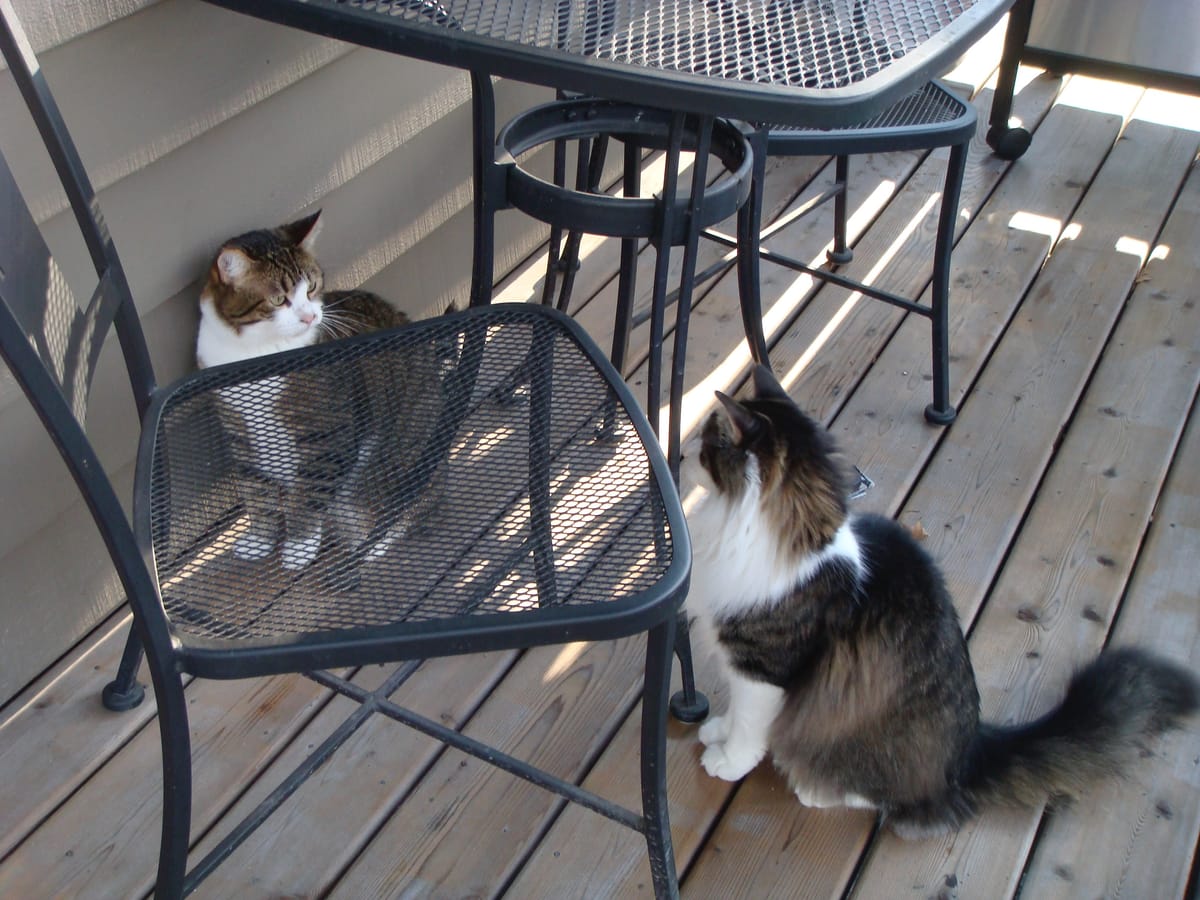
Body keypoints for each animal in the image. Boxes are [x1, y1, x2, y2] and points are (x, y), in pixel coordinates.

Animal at [196, 211, 446, 571]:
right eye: (278, 299)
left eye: (312, 287)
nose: (310, 316)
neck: (257, 352)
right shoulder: (239, 434)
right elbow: (255, 489)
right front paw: (259, 540)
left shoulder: (325, 432)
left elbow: (310, 490)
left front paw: (299, 545)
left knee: (404, 508)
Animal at [681, 364, 1195, 840]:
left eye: (707, 444)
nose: (682, 452)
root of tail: (969, 755)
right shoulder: (738, 660)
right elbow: (735, 714)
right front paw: (717, 731)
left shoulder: (763, 669)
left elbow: (750, 726)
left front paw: (728, 760)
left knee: (894, 801)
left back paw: (818, 788)